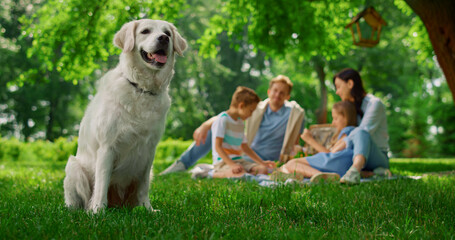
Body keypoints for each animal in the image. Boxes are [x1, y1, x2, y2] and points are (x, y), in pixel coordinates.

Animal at [63, 19, 187, 213]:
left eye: (167, 32)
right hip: (73, 166)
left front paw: (147, 209)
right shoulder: (107, 147)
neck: (142, 89)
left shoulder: (149, 150)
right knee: (79, 200)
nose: (164, 38)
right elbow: (101, 183)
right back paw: (84, 209)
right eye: (145, 31)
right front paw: (98, 211)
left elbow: (143, 186)